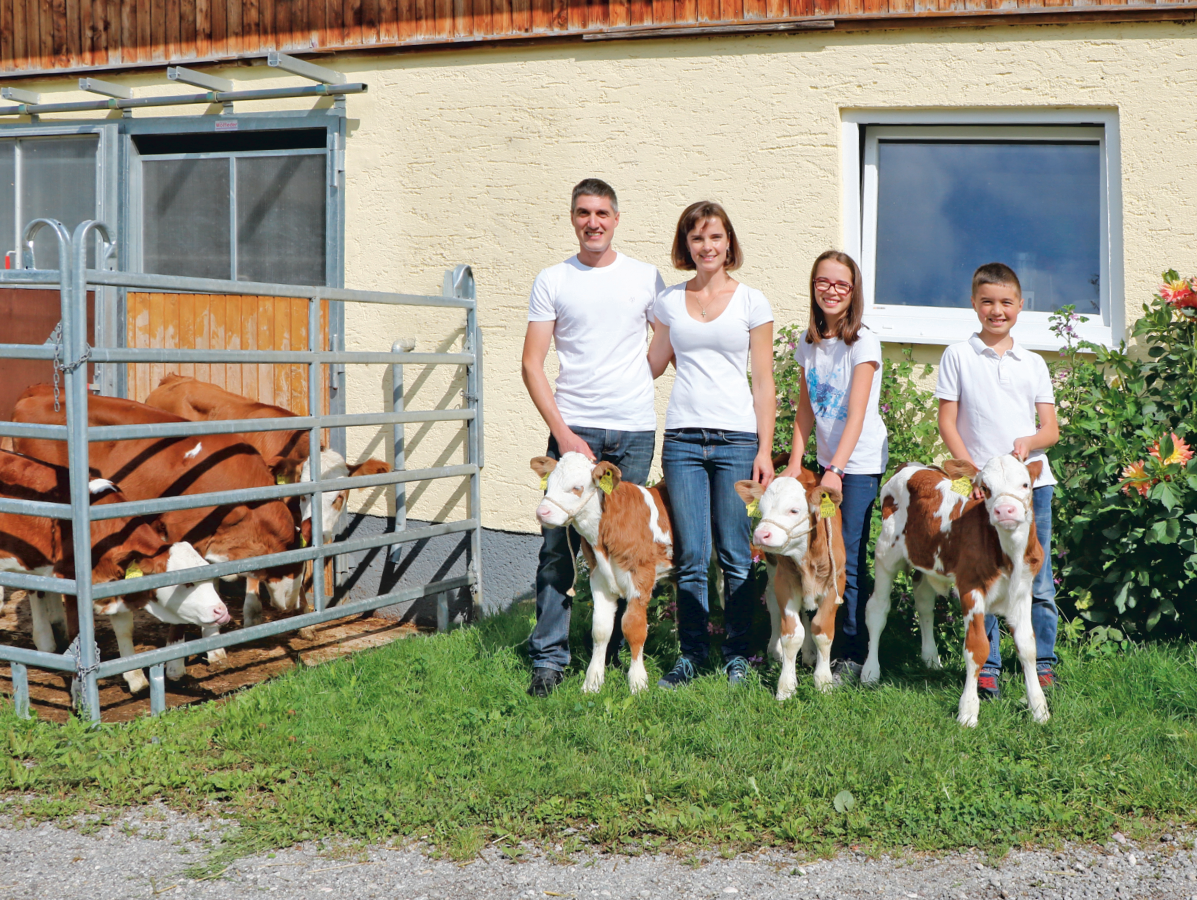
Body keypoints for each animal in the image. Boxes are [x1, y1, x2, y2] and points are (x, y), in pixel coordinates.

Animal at [533, 449, 675, 694]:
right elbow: (601, 629)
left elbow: (634, 627)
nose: (543, 512)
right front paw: (592, 682)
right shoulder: (598, 577)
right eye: (548, 484)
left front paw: (638, 683)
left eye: (577, 487)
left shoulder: (641, 577)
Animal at [732, 466, 847, 698]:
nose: (761, 535)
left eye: (794, 510)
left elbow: (822, 630)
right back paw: (775, 650)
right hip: (773, 566)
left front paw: (823, 682)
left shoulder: (836, 583)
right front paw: (786, 687)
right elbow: (792, 635)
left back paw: (810, 653)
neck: (807, 558)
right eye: (761, 509)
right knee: (772, 601)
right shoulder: (785, 582)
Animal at [861, 452, 1048, 727]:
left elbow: (1027, 647)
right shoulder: (970, 587)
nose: (1005, 510)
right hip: (886, 555)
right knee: (877, 610)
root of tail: (911, 466)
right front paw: (968, 711)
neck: (1008, 556)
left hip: (925, 563)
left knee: (924, 603)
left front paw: (1039, 708)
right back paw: (870, 672)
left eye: (1025, 484)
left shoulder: (1023, 589)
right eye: (985, 488)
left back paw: (930, 658)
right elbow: (976, 648)